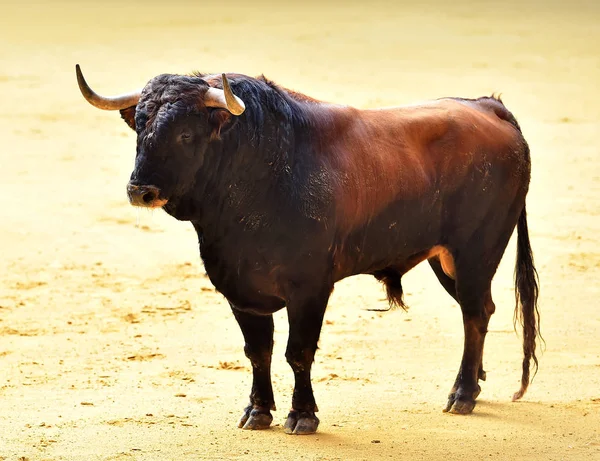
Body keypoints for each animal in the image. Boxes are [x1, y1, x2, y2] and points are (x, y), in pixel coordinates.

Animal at [74, 63, 540, 434]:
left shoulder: (310, 289)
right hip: (446, 260)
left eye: (186, 133)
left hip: (476, 251)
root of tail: (488, 107)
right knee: (478, 313)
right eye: (140, 126)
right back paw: (475, 382)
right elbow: (257, 352)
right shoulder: (239, 288)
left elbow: (297, 352)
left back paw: (462, 394)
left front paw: (302, 416)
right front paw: (258, 412)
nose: (141, 190)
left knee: (475, 313)